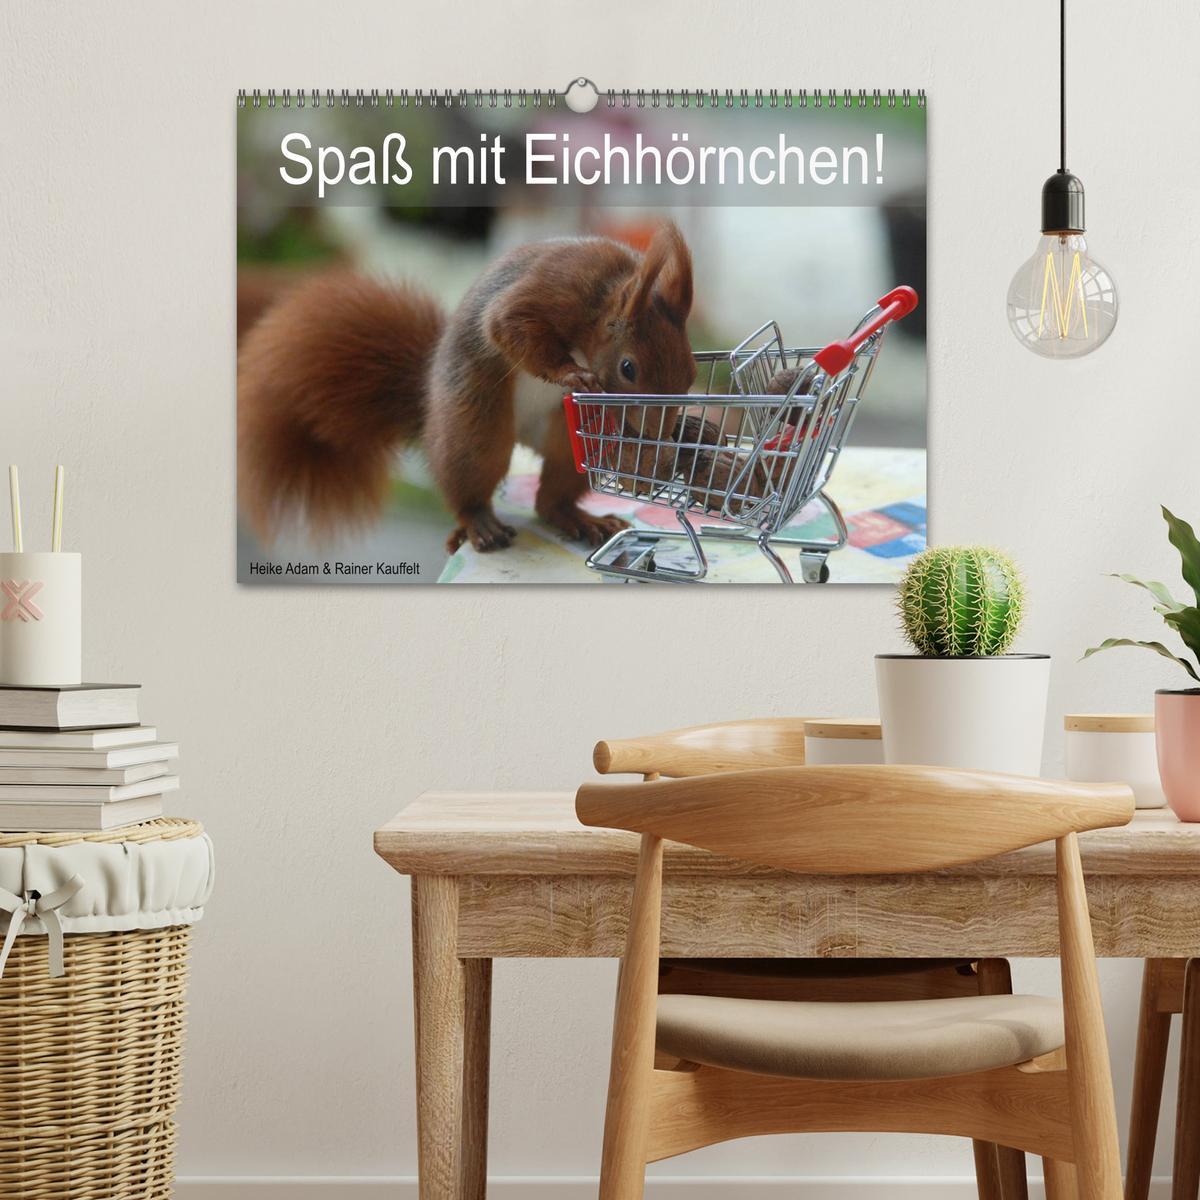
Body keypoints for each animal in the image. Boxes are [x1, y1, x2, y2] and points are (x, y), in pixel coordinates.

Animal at [237, 222, 696, 554]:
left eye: (692, 373)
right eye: (628, 368)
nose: (659, 433)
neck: (603, 298)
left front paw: (654, 460)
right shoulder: (555, 290)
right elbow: (509, 325)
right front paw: (570, 374)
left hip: (568, 445)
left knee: (552, 498)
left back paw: (580, 519)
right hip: (476, 425)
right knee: (470, 480)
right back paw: (481, 523)